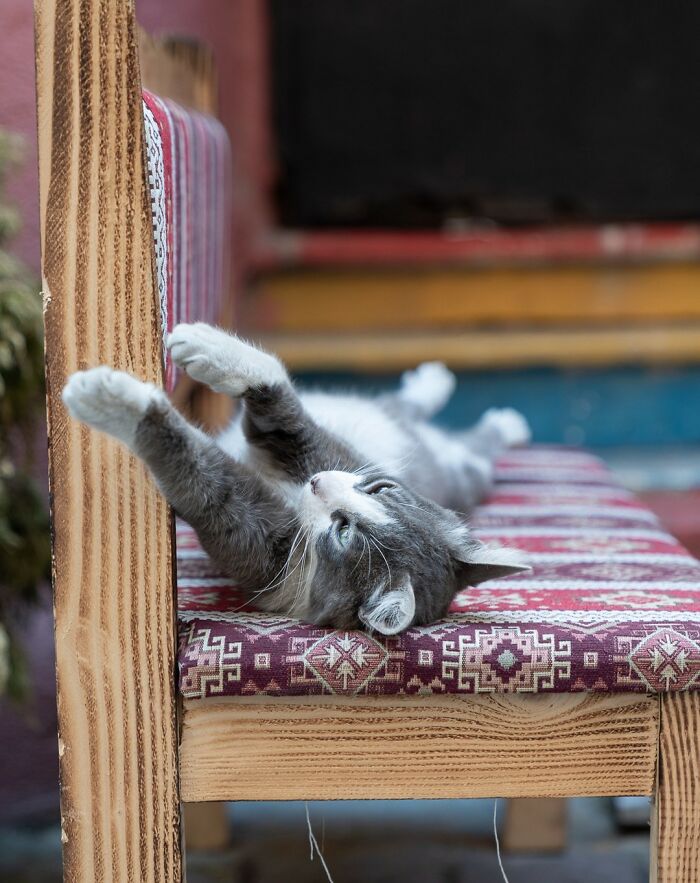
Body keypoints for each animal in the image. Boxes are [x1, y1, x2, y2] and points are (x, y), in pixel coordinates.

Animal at [63, 322, 532, 636]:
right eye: (383, 488)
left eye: (343, 533)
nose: (318, 482)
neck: (294, 495)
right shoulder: (325, 450)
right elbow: (277, 398)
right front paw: (204, 343)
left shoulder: (259, 543)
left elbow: (204, 474)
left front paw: (108, 398)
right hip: (398, 428)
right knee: (403, 405)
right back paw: (441, 385)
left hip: (464, 474)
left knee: (477, 455)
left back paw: (507, 424)